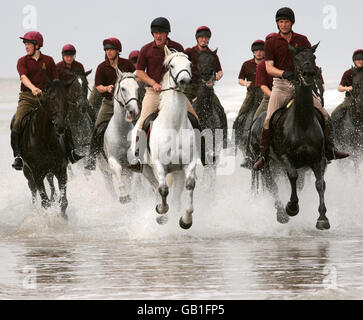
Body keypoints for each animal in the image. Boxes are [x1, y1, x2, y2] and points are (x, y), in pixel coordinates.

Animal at [14, 80, 71, 220]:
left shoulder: (61, 170)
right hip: (27, 171)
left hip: (50, 171)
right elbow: (45, 202)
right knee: (32, 188)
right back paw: (34, 208)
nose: (60, 126)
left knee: (51, 184)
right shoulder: (37, 173)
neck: (45, 139)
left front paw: (64, 218)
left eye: (67, 99)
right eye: (51, 98)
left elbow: (64, 202)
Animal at [97, 70, 140, 202]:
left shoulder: (131, 162)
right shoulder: (112, 159)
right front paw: (124, 196)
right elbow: (117, 168)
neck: (122, 133)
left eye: (137, 88)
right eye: (123, 88)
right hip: (105, 173)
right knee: (110, 187)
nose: (134, 112)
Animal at [132, 46, 198, 229]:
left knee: (175, 194)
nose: (185, 82)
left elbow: (190, 186)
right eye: (172, 66)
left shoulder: (188, 164)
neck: (174, 127)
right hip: (147, 170)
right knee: (156, 188)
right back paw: (161, 214)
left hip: (177, 172)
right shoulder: (159, 165)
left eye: (190, 64)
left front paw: (186, 220)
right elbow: (163, 189)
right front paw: (161, 211)